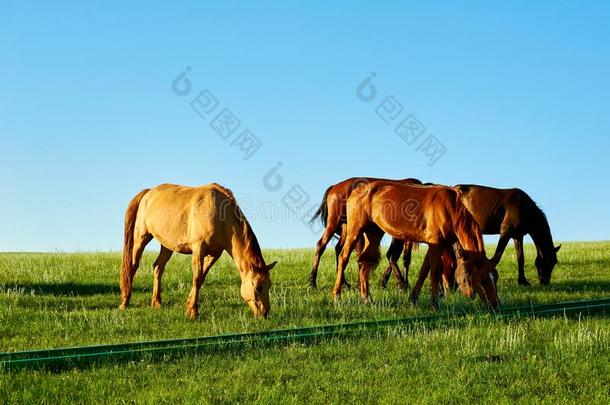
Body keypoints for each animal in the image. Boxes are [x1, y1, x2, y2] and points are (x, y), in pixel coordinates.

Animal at [119, 183, 276, 318]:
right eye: (258, 287)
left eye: (269, 285)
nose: (265, 313)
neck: (220, 215)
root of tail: (148, 193)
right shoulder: (198, 249)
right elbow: (196, 278)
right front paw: (193, 312)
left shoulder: (214, 254)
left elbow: (201, 279)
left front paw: (189, 307)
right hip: (141, 238)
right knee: (133, 266)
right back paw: (125, 302)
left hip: (167, 245)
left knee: (158, 267)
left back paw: (156, 302)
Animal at [332, 181, 498, 308]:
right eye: (482, 279)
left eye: (495, 277)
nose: (496, 306)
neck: (451, 208)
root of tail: (355, 191)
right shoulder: (435, 244)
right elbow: (435, 272)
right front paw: (434, 304)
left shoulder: (433, 245)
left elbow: (424, 271)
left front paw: (413, 299)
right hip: (354, 230)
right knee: (343, 258)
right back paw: (337, 296)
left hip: (374, 234)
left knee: (365, 263)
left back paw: (367, 298)